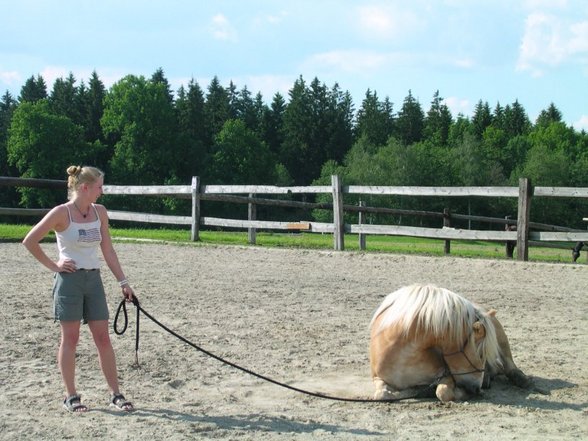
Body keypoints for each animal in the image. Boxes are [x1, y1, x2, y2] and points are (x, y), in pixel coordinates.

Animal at [370, 284, 536, 400]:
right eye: (481, 356)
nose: (476, 389)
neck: (404, 357)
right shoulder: (377, 377)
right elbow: (381, 394)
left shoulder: (446, 376)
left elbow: (443, 393)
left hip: (501, 339)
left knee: (508, 363)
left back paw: (519, 378)